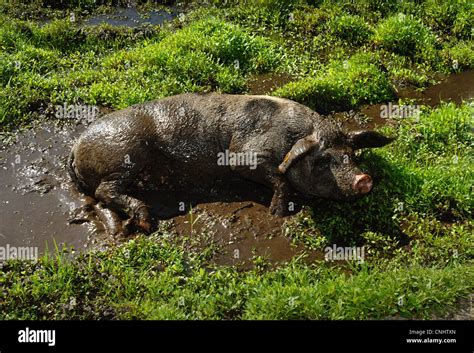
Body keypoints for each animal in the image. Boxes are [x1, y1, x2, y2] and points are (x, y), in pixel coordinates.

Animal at [66, 93, 392, 236]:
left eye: (351, 154)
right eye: (323, 160)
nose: (364, 179)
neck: (289, 138)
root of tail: (76, 145)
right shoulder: (243, 154)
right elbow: (279, 178)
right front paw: (277, 214)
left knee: (100, 198)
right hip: (124, 157)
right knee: (105, 191)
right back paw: (146, 222)